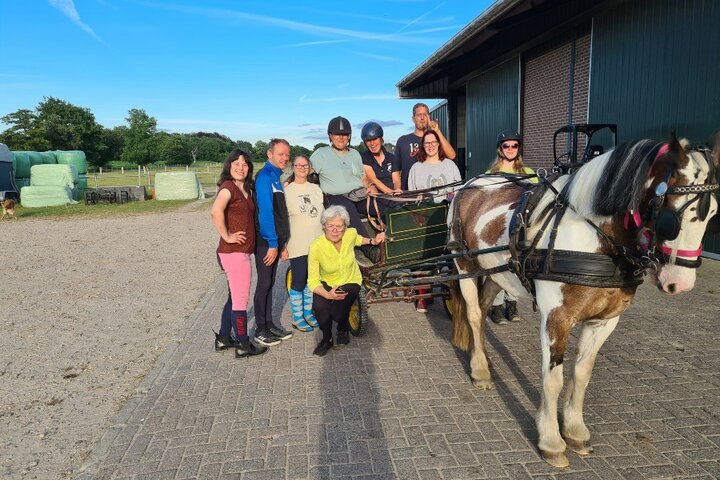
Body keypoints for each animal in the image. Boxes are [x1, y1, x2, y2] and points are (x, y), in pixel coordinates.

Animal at [448, 133, 716, 466]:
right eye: (671, 218)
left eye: (714, 213)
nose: (680, 282)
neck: (594, 236)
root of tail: (471, 184)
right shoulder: (556, 319)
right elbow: (554, 379)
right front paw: (551, 440)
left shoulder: (605, 321)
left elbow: (582, 374)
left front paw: (575, 430)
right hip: (465, 266)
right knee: (473, 314)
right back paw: (480, 371)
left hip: (498, 273)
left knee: (484, 310)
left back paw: (481, 359)